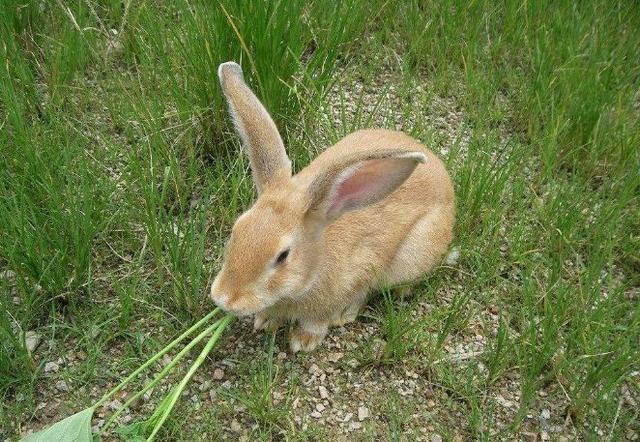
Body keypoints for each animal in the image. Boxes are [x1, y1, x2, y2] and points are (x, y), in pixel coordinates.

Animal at [210, 62, 456, 352]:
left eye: (283, 256)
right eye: (236, 230)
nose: (224, 299)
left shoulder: (361, 271)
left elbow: (332, 311)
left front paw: (305, 340)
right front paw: (265, 321)